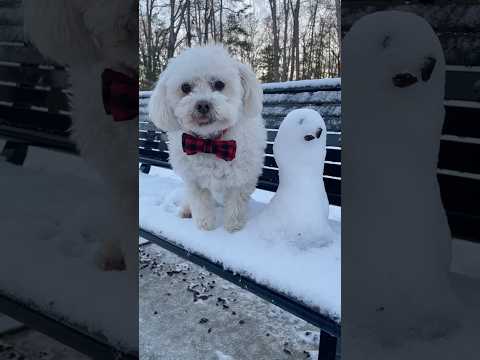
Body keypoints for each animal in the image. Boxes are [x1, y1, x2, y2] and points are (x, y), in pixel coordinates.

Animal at [150, 45, 266, 231]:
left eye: (219, 84)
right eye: (185, 87)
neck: (210, 142)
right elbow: (201, 204)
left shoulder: (241, 177)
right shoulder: (194, 181)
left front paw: (233, 226)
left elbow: (236, 202)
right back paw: (186, 210)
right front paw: (205, 225)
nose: (203, 104)